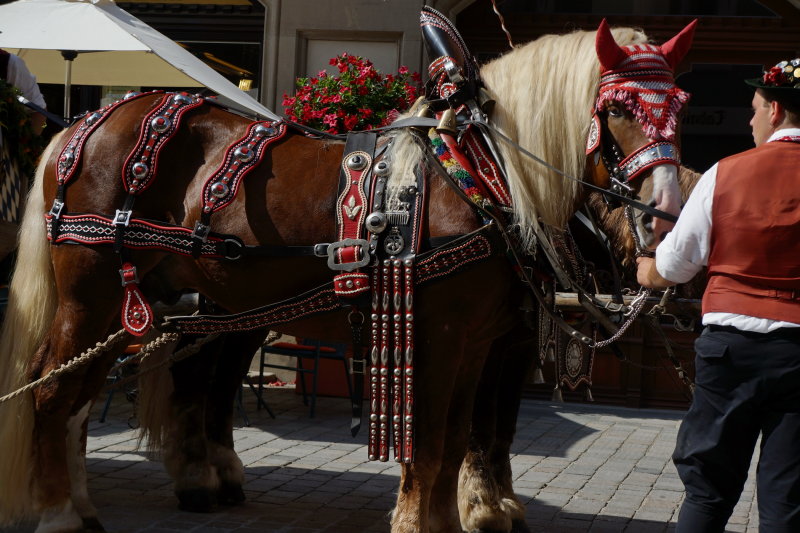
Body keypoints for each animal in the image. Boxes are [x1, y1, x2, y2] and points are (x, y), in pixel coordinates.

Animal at [0, 19, 692, 532]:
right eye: (618, 108)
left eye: (681, 108)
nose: (662, 219)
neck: (480, 177)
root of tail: (88, 122)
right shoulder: (440, 338)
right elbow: (435, 440)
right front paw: (431, 519)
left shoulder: (482, 342)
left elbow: (463, 435)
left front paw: (463, 513)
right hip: (91, 296)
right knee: (53, 391)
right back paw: (61, 512)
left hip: (142, 308)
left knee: (93, 397)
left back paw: (98, 501)